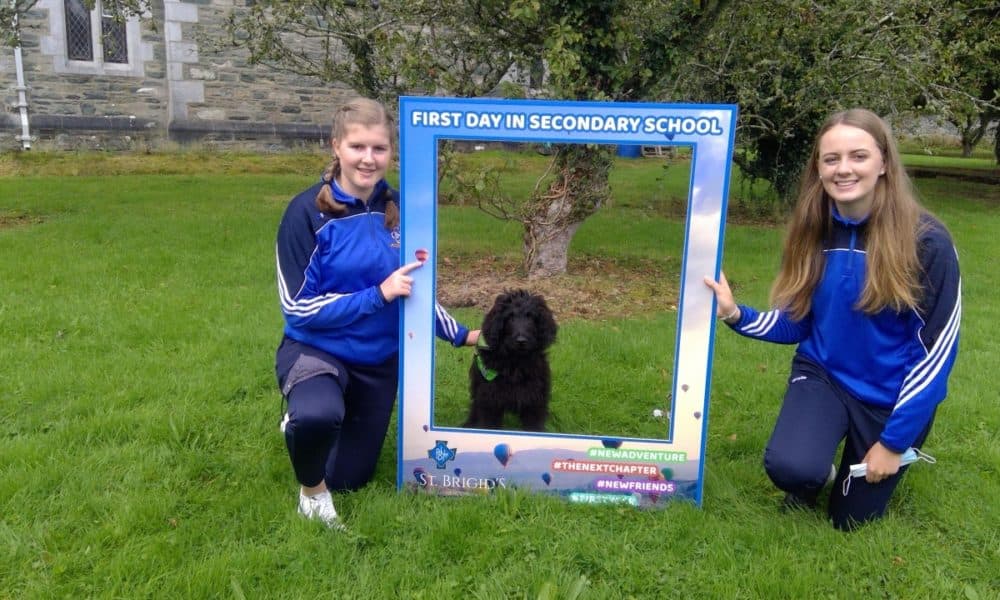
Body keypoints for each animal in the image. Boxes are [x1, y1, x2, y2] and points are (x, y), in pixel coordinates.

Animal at [464, 288, 560, 432]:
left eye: (531, 316)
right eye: (509, 317)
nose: (521, 341)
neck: (515, 363)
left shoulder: (535, 401)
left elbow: (534, 425)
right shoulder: (490, 400)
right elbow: (488, 424)